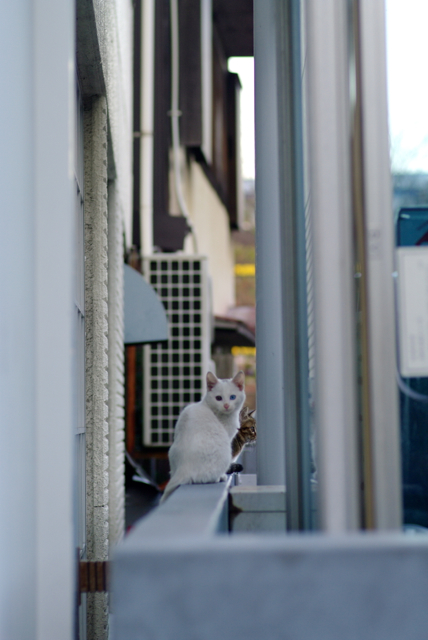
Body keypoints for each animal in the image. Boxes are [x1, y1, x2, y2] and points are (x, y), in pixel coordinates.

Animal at [160, 370, 245, 503]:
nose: (226, 405)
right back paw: (220, 477)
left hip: (171, 452)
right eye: (218, 398)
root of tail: (184, 468)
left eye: (232, 397)